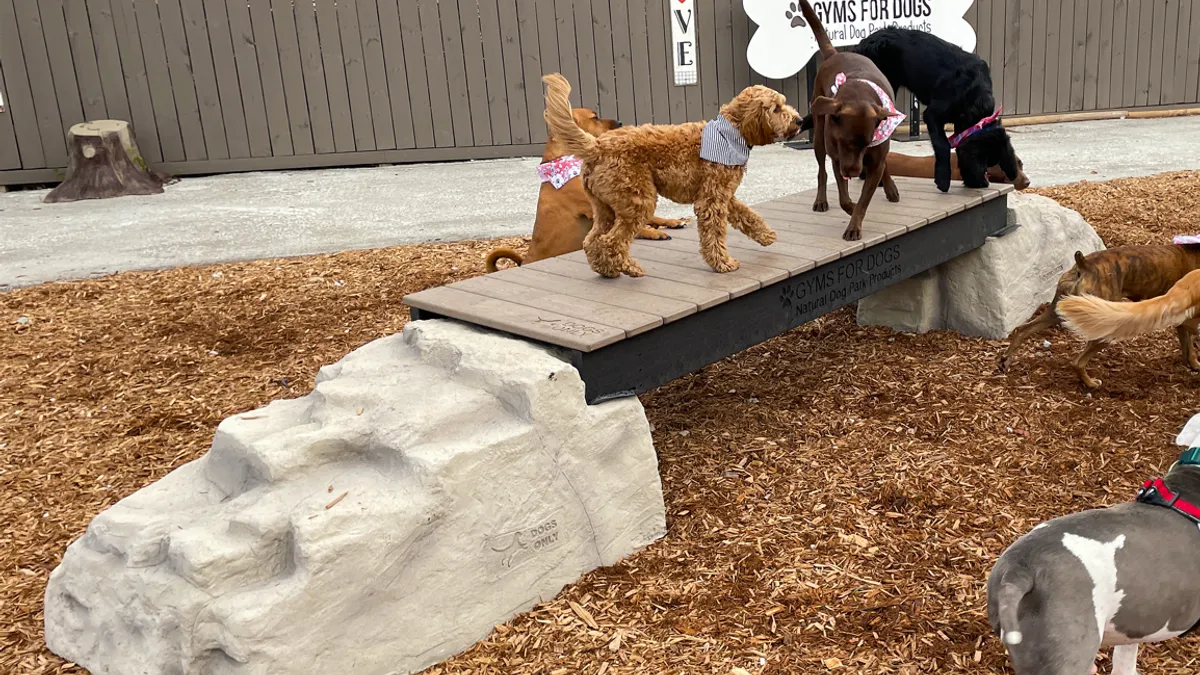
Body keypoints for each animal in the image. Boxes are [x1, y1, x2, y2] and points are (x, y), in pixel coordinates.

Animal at [796, 0, 902, 239]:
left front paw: (855, 222)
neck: (858, 94)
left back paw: (890, 188)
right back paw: (821, 200)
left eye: (866, 144)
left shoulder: (874, 160)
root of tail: (835, 53)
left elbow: (865, 198)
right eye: (843, 142)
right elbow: (845, 199)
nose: (853, 172)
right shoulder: (838, 159)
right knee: (822, 172)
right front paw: (852, 211)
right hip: (818, 138)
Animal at [854, 27, 1022, 190]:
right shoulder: (932, 114)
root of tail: (865, 41)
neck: (975, 97)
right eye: (983, 160)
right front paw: (943, 179)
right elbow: (943, 144)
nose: (982, 183)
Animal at [1003, 243, 1200, 386]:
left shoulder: (1182, 323)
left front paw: (1191, 364)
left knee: (1023, 330)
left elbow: (1186, 346)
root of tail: (1084, 264)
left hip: (1057, 311)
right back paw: (1091, 384)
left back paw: (1005, 361)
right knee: (1078, 362)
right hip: (1104, 326)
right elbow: (1190, 346)